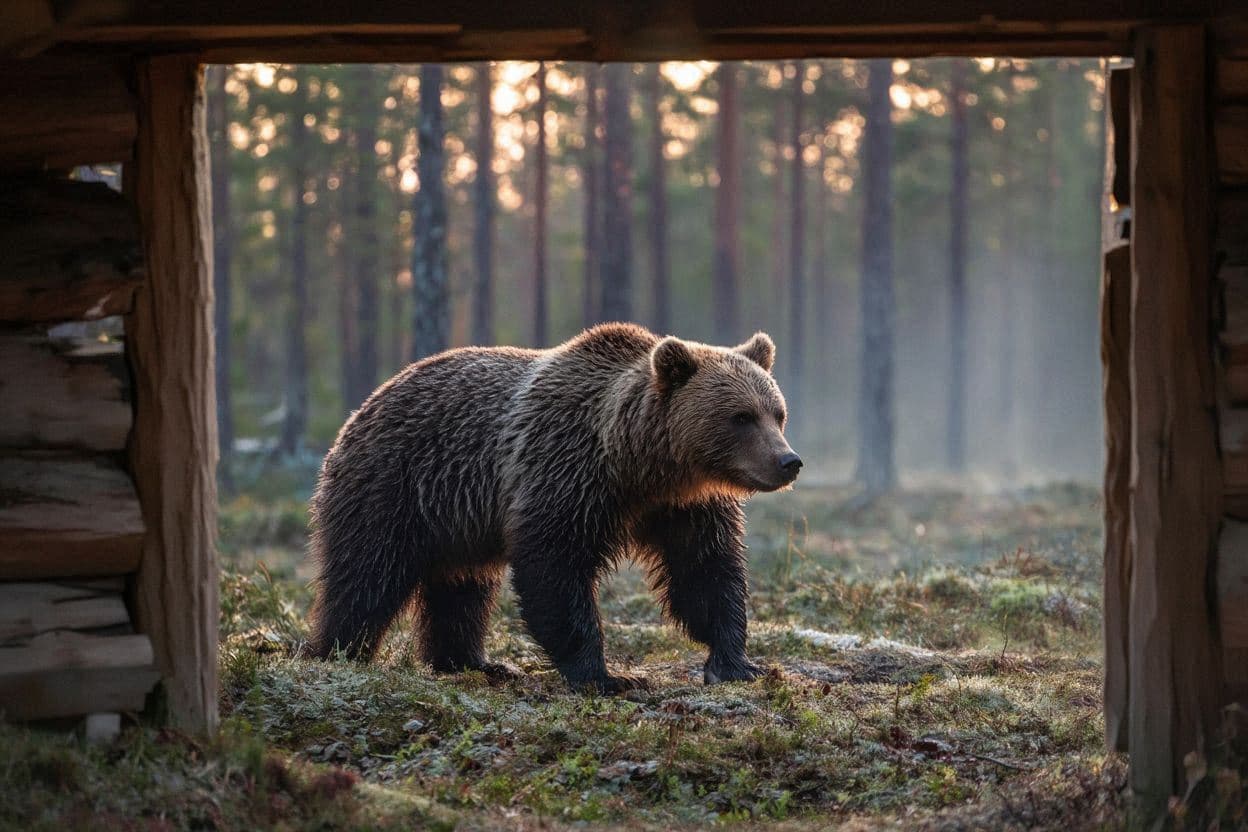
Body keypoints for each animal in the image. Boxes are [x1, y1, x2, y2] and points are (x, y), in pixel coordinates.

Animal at [305, 323, 802, 692]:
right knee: (367, 576)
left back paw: (474, 662)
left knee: (463, 587)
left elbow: (705, 573)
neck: (642, 467)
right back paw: (337, 651)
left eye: (777, 413)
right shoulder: (566, 471)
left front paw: (737, 663)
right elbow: (555, 567)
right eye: (741, 417)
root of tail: (361, 409)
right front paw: (607, 676)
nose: (788, 461)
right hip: (396, 486)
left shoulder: (685, 508)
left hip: (456, 523)